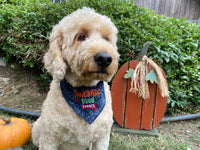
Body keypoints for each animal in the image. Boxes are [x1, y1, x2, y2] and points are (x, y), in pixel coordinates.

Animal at [31, 7, 119, 150]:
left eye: (106, 39)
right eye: (81, 36)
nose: (105, 58)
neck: (84, 90)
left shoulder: (101, 138)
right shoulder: (50, 138)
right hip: (39, 128)